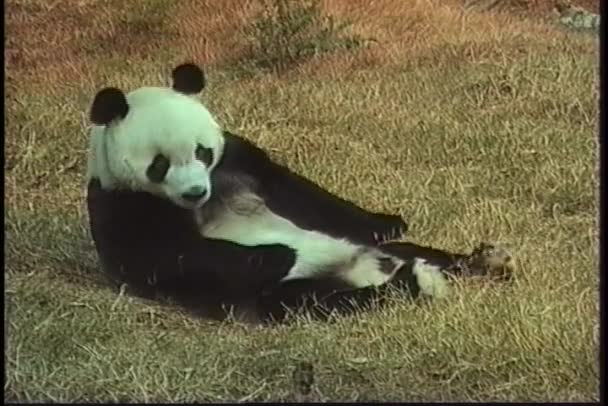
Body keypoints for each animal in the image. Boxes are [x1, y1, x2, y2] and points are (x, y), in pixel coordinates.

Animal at [85, 61, 512, 326]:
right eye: (159, 164)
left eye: (201, 151)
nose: (194, 192)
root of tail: (367, 268)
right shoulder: (121, 204)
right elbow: (172, 256)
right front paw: (278, 255)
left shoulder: (235, 160)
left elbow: (297, 191)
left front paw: (389, 220)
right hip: (298, 291)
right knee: (314, 302)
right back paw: (413, 283)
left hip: (379, 249)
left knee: (420, 252)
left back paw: (481, 261)